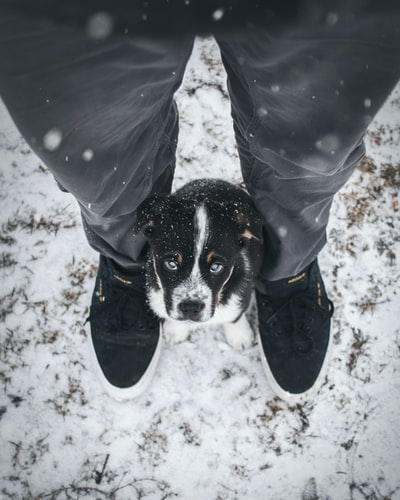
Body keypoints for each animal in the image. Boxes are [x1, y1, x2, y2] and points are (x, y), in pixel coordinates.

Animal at [136, 178, 264, 350]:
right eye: (171, 264)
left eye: (216, 267)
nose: (191, 308)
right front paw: (175, 331)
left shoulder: (243, 285)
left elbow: (235, 314)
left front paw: (240, 336)